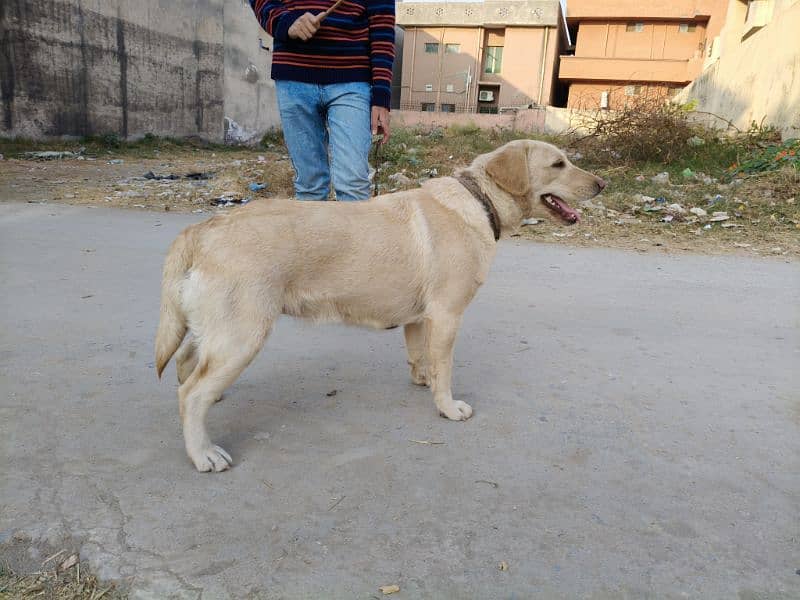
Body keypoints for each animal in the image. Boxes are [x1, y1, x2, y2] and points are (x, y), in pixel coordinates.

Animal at [158, 138, 608, 472]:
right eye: (558, 164)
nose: (602, 184)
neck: (478, 202)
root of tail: (204, 227)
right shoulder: (447, 315)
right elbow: (445, 368)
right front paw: (447, 407)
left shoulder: (421, 319)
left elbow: (421, 357)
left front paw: (424, 382)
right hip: (242, 335)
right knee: (190, 394)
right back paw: (203, 452)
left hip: (214, 330)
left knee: (185, 367)